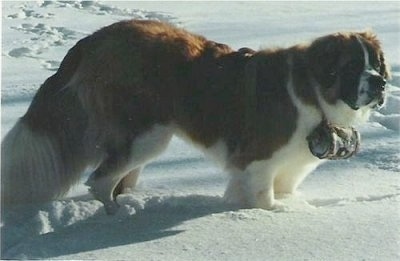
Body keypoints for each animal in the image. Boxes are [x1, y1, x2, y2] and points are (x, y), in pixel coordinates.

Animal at [0, 19, 388, 211]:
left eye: (375, 63)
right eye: (352, 66)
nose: (382, 82)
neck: (311, 91)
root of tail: (96, 38)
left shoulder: (291, 165)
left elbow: (282, 188)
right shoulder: (258, 160)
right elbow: (263, 198)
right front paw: (271, 213)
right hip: (148, 134)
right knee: (99, 181)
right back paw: (116, 216)